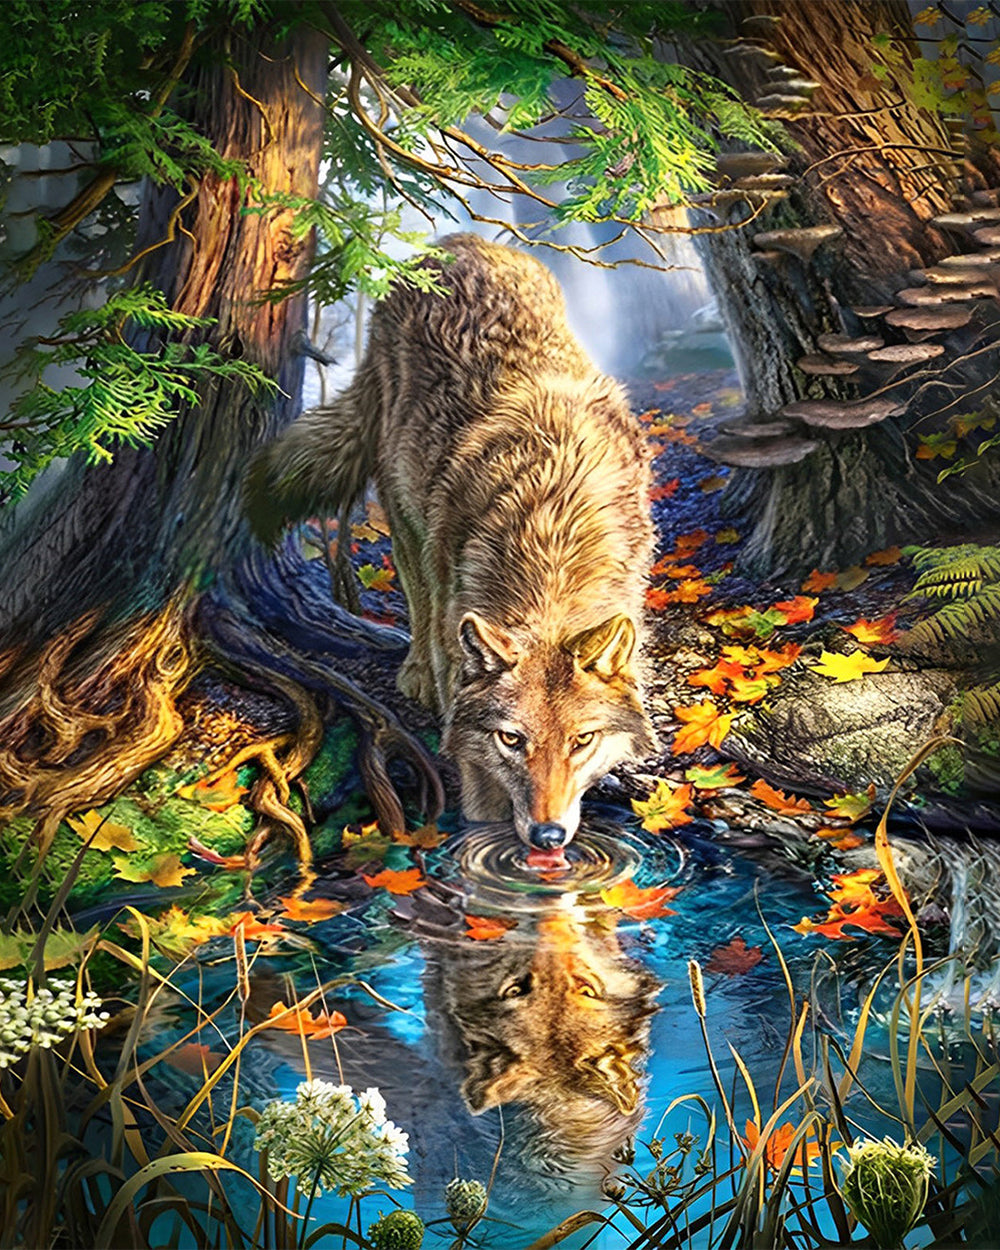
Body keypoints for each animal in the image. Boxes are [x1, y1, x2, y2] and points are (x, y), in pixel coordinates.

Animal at [245, 233, 657, 848]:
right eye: (512, 740)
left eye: (581, 741)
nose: (548, 836)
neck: (551, 532)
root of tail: (453, 242)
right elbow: (474, 775)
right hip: (404, 513)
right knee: (416, 598)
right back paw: (413, 671)